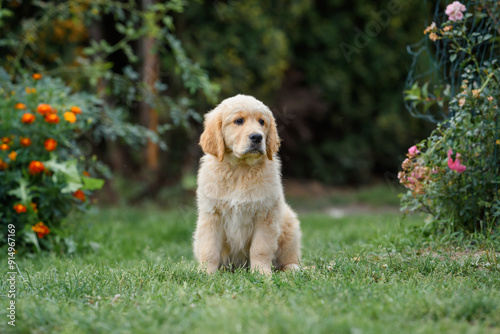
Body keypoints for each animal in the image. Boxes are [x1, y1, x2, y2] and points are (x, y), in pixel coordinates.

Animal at [192, 93, 300, 274]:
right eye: (239, 121)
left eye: (262, 122)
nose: (257, 137)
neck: (240, 169)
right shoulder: (211, 215)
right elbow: (209, 248)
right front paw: (205, 273)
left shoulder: (266, 214)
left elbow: (260, 248)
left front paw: (262, 273)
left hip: (289, 222)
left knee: (290, 256)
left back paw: (292, 268)